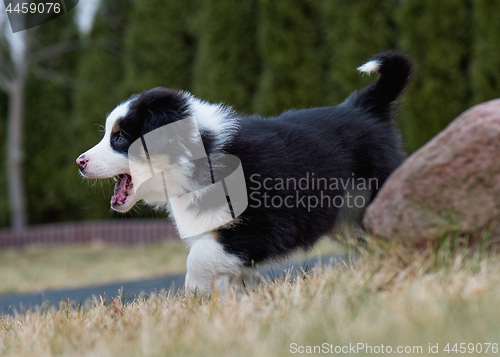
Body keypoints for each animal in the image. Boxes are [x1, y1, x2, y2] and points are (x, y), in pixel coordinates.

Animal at [77, 50, 410, 294]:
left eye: (120, 137)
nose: (79, 162)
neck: (203, 155)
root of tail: (363, 107)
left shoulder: (267, 224)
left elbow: (199, 257)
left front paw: (195, 292)